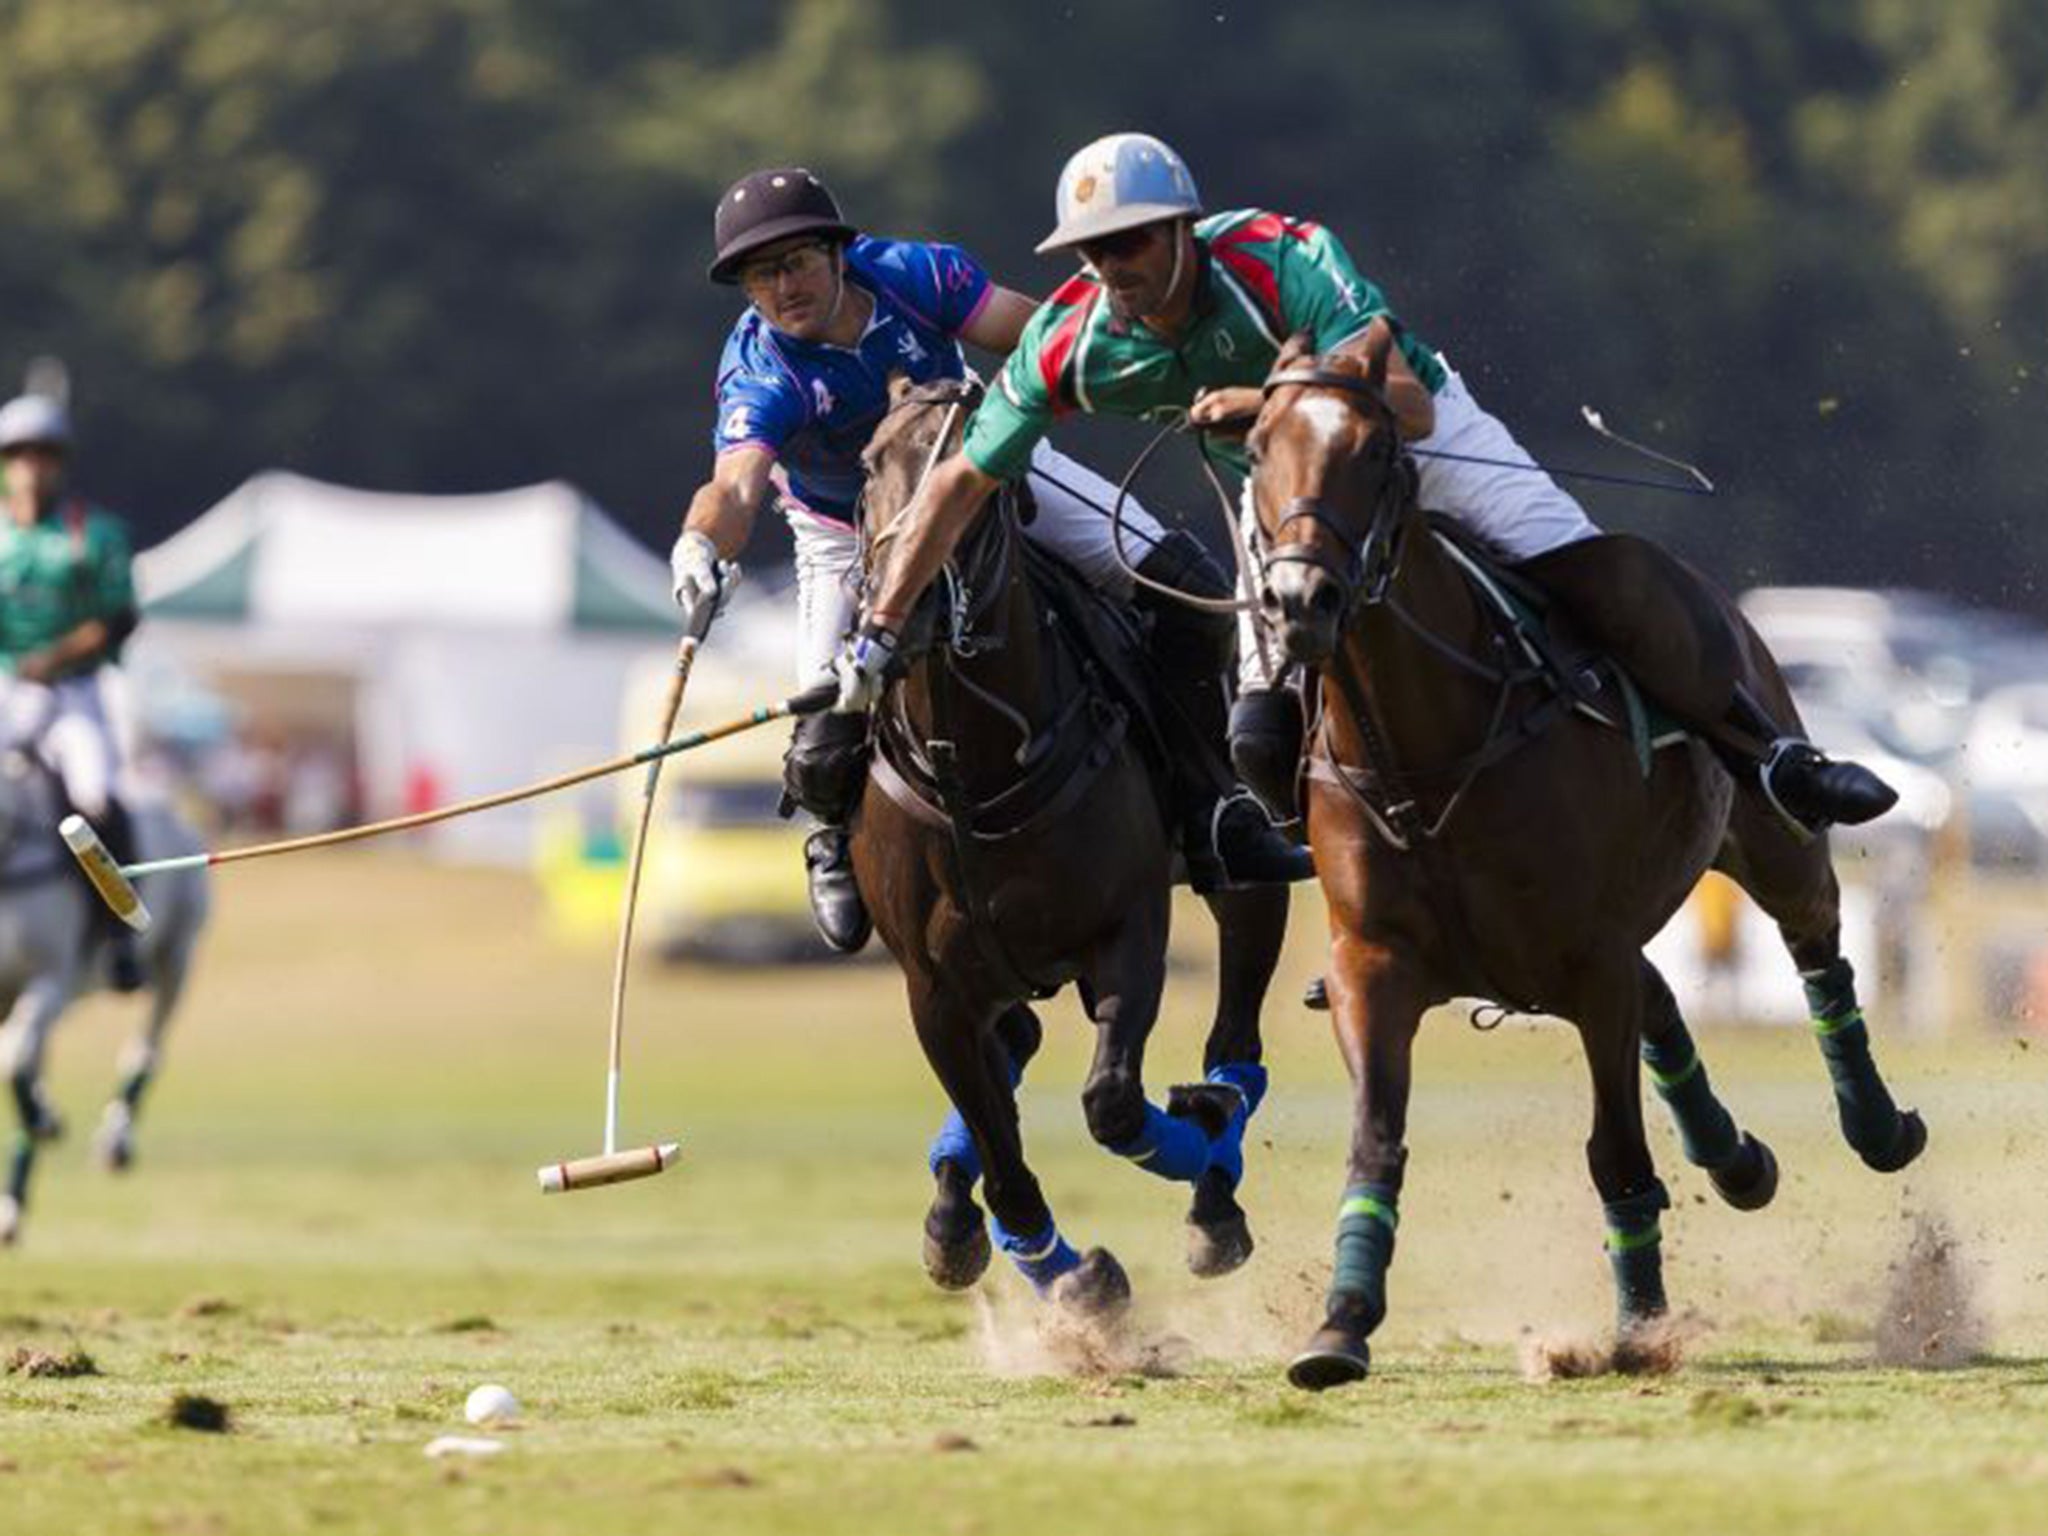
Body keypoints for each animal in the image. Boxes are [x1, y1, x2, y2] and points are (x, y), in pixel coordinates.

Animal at [843, 378, 1277, 1318]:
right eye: (868, 465)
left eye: (980, 484)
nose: (902, 603)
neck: (972, 772)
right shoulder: (933, 989)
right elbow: (1000, 1145)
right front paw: (1062, 1271)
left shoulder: (1127, 931)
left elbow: (1112, 1103)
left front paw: (1198, 1124)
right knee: (1015, 1046)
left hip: (1243, 854)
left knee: (1240, 1018)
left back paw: (1217, 1168)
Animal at [1236, 327, 1925, 1392]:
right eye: (1259, 448)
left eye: (1377, 450)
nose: (1300, 597)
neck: (1425, 750)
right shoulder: (1373, 964)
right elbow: (1377, 1135)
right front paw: (1340, 1324)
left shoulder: (1588, 960)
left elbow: (1616, 1151)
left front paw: (1640, 1330)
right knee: (1665, 995)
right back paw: (1736, 1157)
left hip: (1769, 834)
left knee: (1816, 946)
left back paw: (1877, 1125)